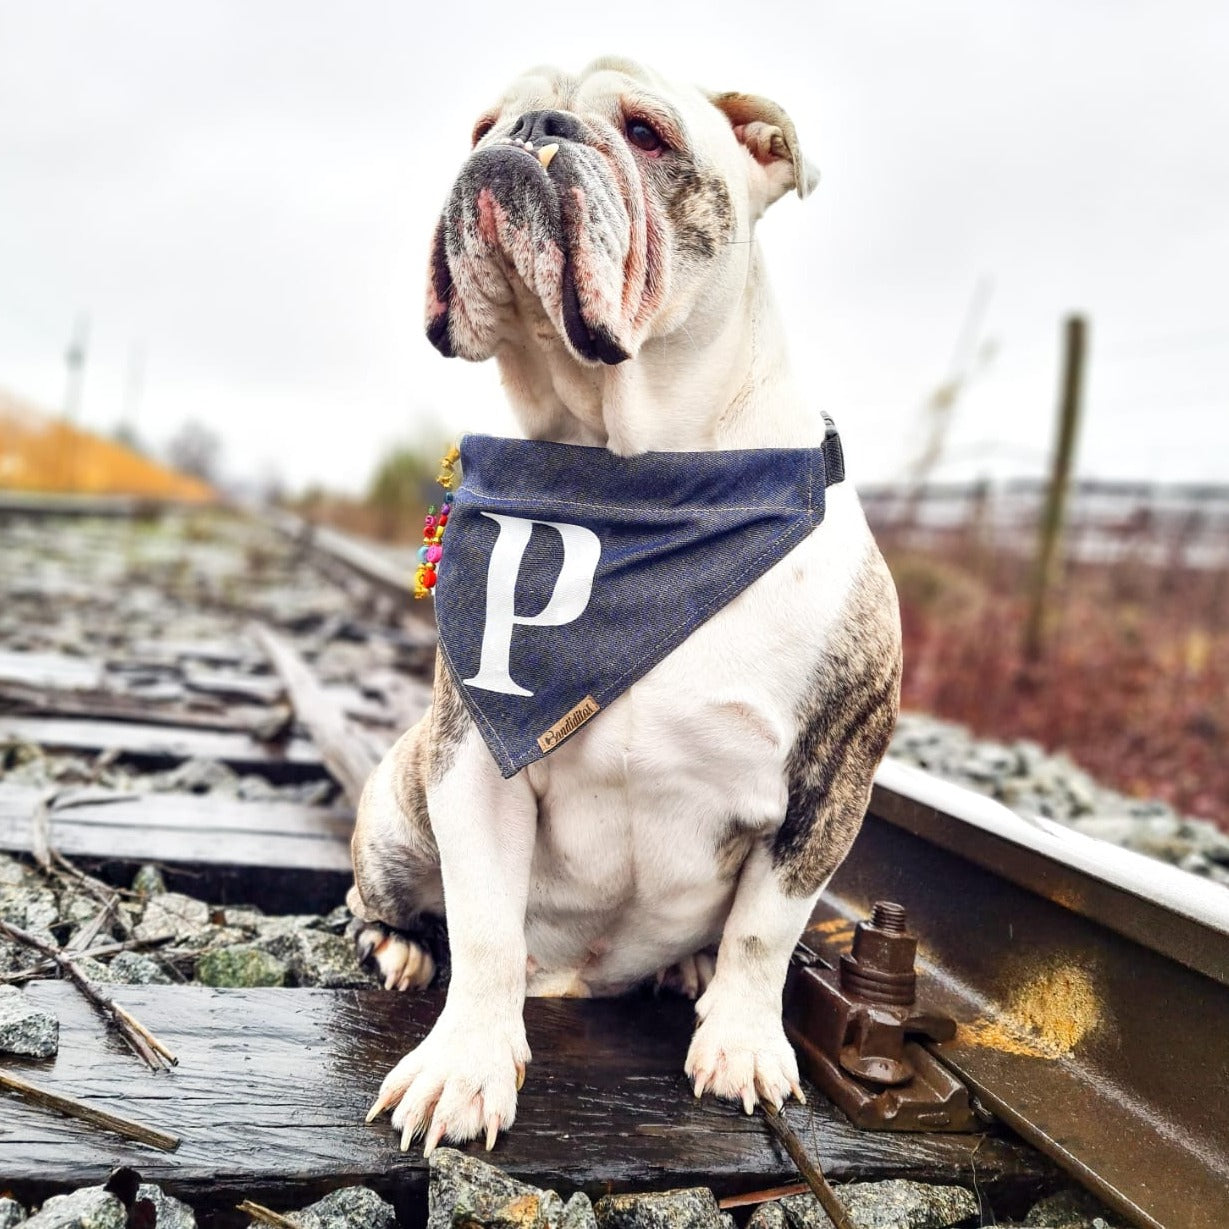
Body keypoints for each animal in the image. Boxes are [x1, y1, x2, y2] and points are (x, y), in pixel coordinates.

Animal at [349, 55, 904, 1150]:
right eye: (480, 124)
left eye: (647, 133)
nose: (525, 130)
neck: (631, 472)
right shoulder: (473, 761)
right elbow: (483, 924)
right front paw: (465, 1062)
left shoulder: (828, 783)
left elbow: (764, 930)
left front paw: (743, 1039)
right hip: (394, 810)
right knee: (395, 899)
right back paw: (398, 946)